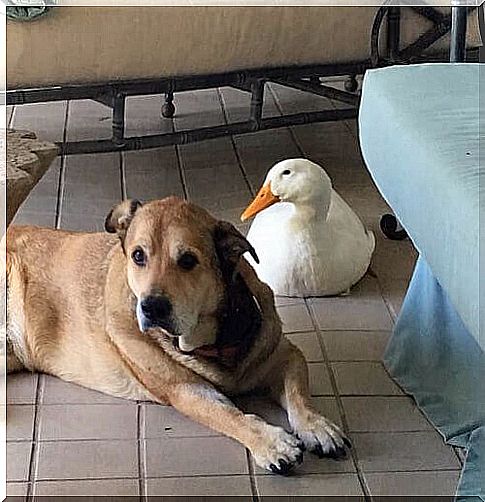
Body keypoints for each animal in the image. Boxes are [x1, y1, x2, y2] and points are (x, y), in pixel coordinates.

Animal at [5, 196, 350, 474]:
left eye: (187, 260)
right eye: (138, 256)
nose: (152, 306)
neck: (216, 341)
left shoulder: (283, 353)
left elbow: (297, 392)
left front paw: (316, 425)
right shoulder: (186, 390)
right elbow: (231, 415)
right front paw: (271, 443)